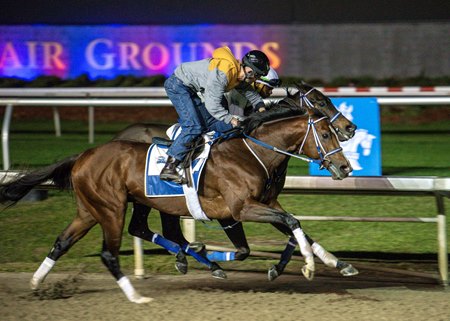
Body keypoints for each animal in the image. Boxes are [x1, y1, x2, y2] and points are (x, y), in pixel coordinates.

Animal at [0, 103, 352, 302]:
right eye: (325, 133)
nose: (346, 167)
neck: (251, 152)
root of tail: (83, 155)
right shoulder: (240, 209)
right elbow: (278, 230)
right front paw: (306, 267)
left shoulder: (264, 205)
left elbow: (295, 227)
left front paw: (329, 263)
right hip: (111, 208)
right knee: (111, 250)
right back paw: (139, 295)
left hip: (92, 210)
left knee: (65, 241)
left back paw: (36, 284)